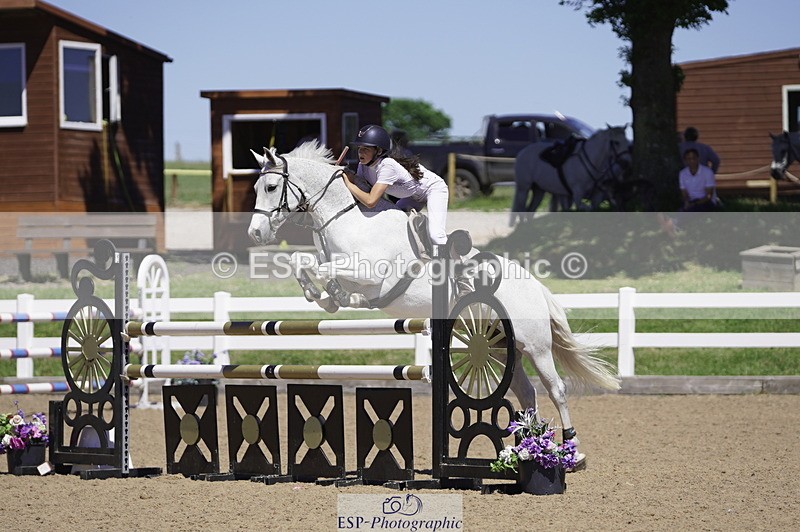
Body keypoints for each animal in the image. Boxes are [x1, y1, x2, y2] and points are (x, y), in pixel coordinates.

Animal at [247, 141, 620, 467]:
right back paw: (528, 446)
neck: (346, 222)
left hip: (536, 346)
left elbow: (319, 267)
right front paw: (327, 297)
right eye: (256, 187)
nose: (255, 234)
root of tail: (536, 287)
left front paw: (325, 293)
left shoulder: (371, 273)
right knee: (527, 394)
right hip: (503, 349)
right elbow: (308, 267)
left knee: (556, 389)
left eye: (270, 187)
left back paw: (570, 451)